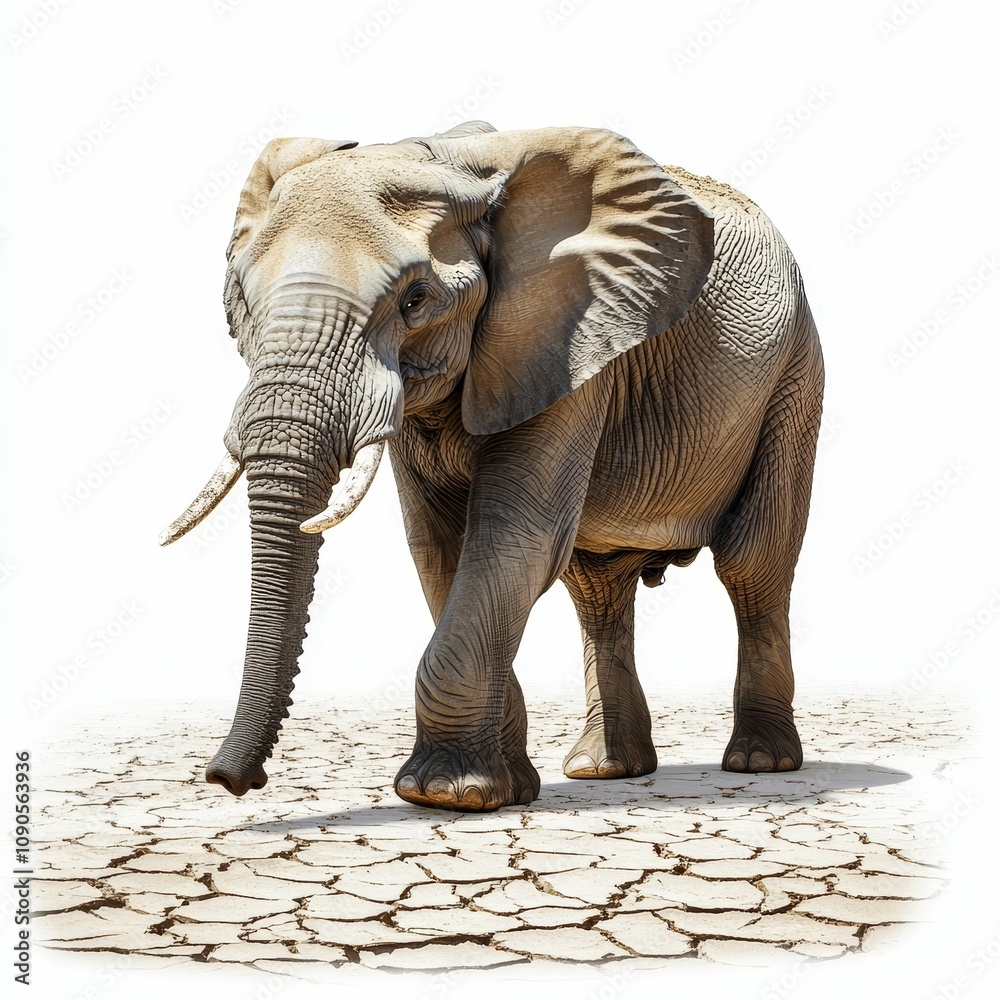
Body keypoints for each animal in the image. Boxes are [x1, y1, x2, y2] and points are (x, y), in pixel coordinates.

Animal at [161, 120, 824, 812]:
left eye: (415, 300)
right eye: (241, 299)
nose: (229, 779)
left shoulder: (564, 341)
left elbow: (510, 538)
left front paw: (445, 794)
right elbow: (440, 548)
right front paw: (505, 787)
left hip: (795, 373)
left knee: (753, 563)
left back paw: (759, 761)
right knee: (597, 588)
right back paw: (603, 770)